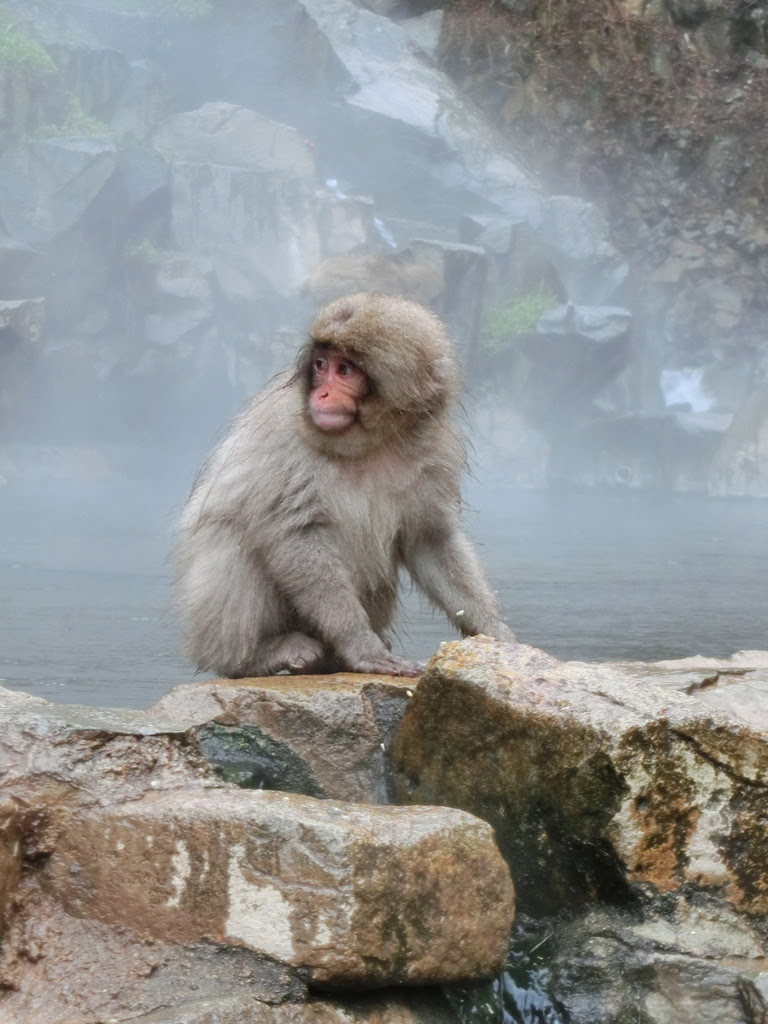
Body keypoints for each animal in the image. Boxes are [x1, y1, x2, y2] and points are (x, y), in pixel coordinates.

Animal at [174, 292, 514, 679]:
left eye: (345, 370)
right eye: (321, 365)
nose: (320, 395)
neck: (370, 442)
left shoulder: (435, 452)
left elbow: (431, 540)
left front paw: (496, 631)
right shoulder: (282, 437)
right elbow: (295, 536)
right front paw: (360, 646)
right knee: (235, 541)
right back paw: (259, 655)